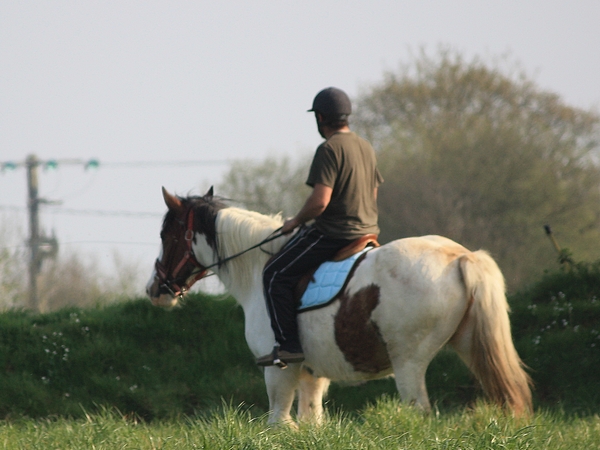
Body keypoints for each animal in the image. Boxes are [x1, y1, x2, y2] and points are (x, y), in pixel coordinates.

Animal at [148, 185, 532, 422]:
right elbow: (309, 422)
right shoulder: (311, 374)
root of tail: (460, 257)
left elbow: (278, 422)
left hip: (409, 363)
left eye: (166, 235)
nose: (155, 289)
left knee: (420, 411)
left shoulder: (278, 371)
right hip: (471, 348)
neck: (258, 268)